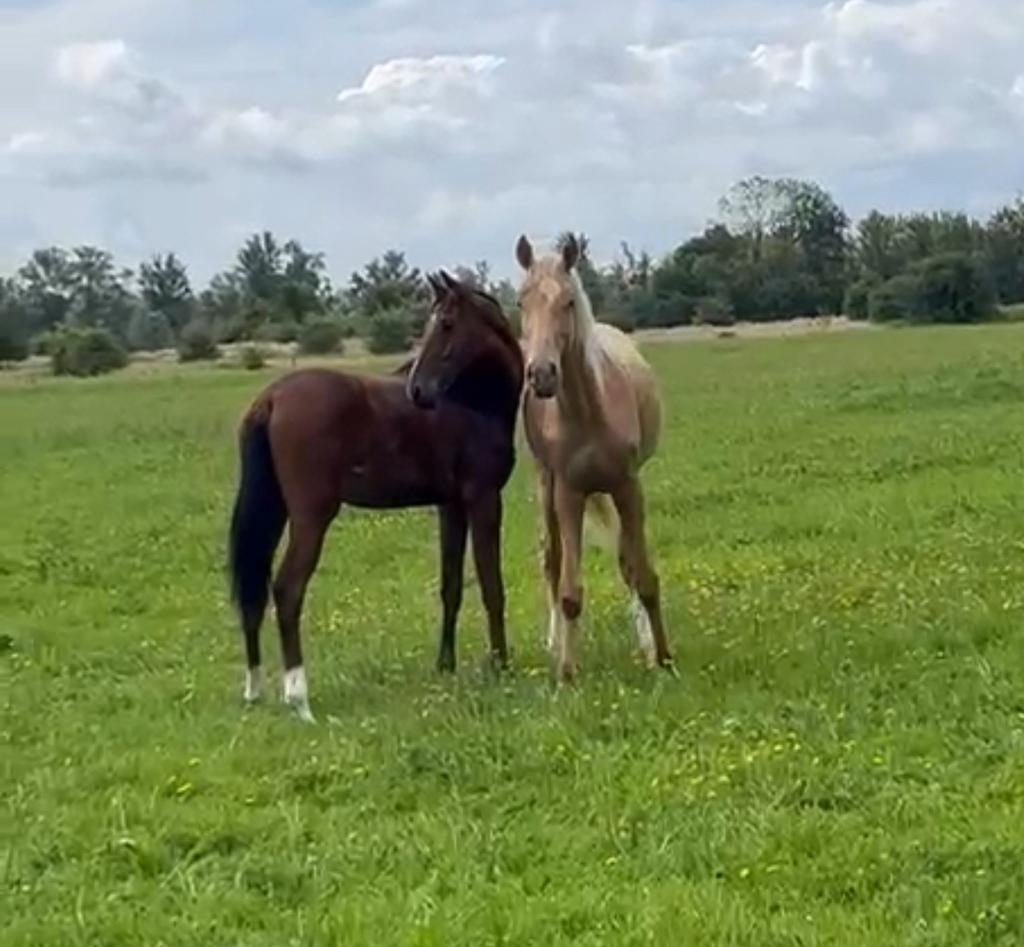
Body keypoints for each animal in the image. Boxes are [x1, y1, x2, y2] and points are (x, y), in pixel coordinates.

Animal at [227, 271, 524, 721]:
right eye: (434, 322)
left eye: (446, 323)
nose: (417, 390)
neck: (472, 402)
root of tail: (272, 399)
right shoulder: (483, 500)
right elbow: (492, 586)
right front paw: (500, 666)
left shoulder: (451, 507)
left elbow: (452, 586)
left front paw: (445, 665)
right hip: (311, 517)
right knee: (287, 589)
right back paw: (299, 700)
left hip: (273, 511)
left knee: (255, 591)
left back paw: (254, 689)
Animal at [514, 233, 674, 682]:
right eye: (521, 301)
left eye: (568, 301)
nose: (542, 375)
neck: (589, 411)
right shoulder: (569, 494)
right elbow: (570, 590)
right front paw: (567, 672)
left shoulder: (628, 486)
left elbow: (643, 576)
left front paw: (662, 657)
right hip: (546, 485)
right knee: (551, 560)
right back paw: (555, 643)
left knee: (626, 563)